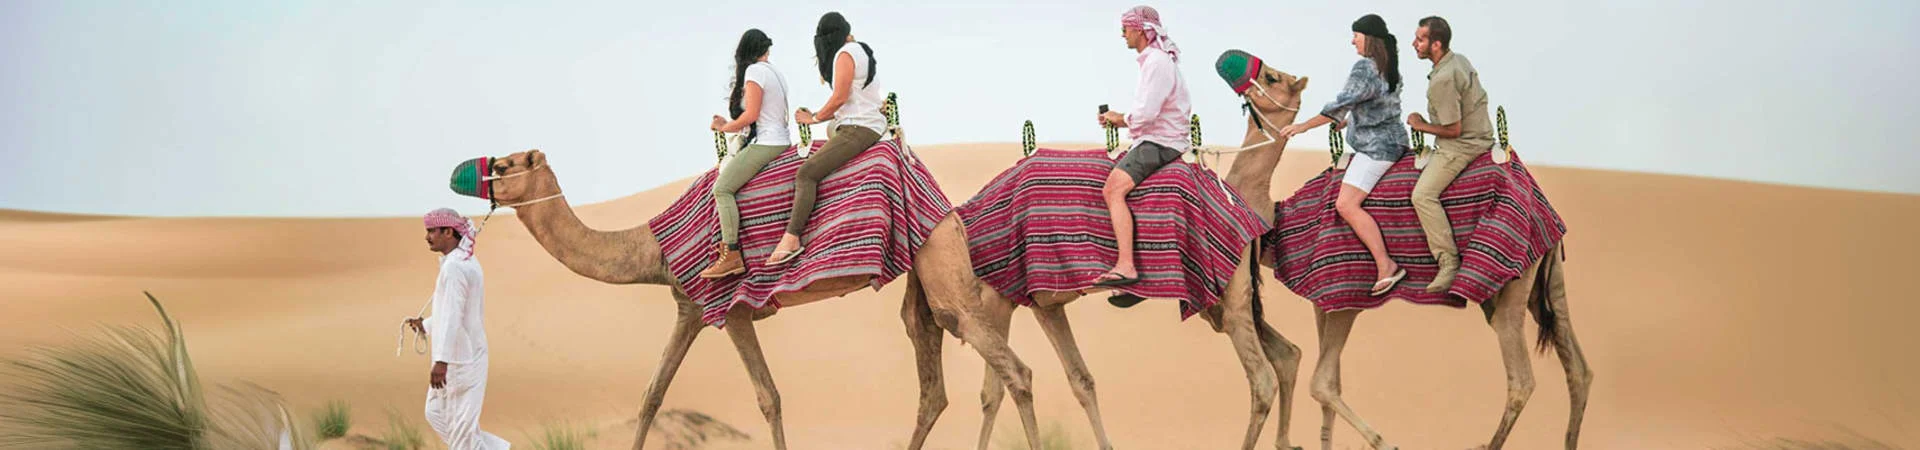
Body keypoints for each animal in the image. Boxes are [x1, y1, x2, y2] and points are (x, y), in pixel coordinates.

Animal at [896, 65, 1313, 450]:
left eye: (1272, 77)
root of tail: (1246, 214)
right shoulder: (1044, 303)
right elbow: (1081, 379)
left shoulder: (997, 297)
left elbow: (993, 392)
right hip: (1228, 302)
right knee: (1285, 355)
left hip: (1225, 294)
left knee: (1262, 379)